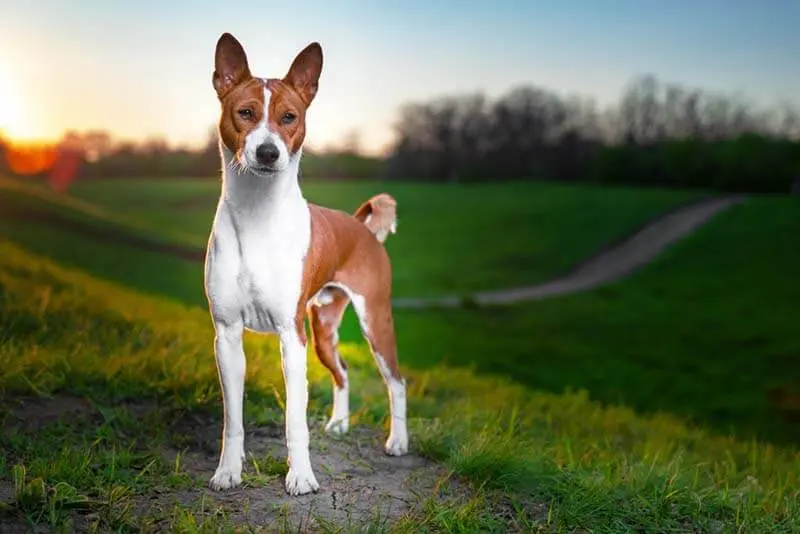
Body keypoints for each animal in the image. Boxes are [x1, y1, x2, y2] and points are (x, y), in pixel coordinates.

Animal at [203, 31, 410, 496]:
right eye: (245, 113)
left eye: (289, 117)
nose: (267, 152)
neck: (257, 215)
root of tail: (361, 228)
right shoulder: (227, 335)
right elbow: (232, 419)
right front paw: (228, 471)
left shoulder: (290, 335)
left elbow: (294, 421)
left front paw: (300, 477)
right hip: (324, 330)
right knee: (344, 372)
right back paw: (339, 424)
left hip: (375, 322)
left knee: (397, 381)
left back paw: (398, 442)